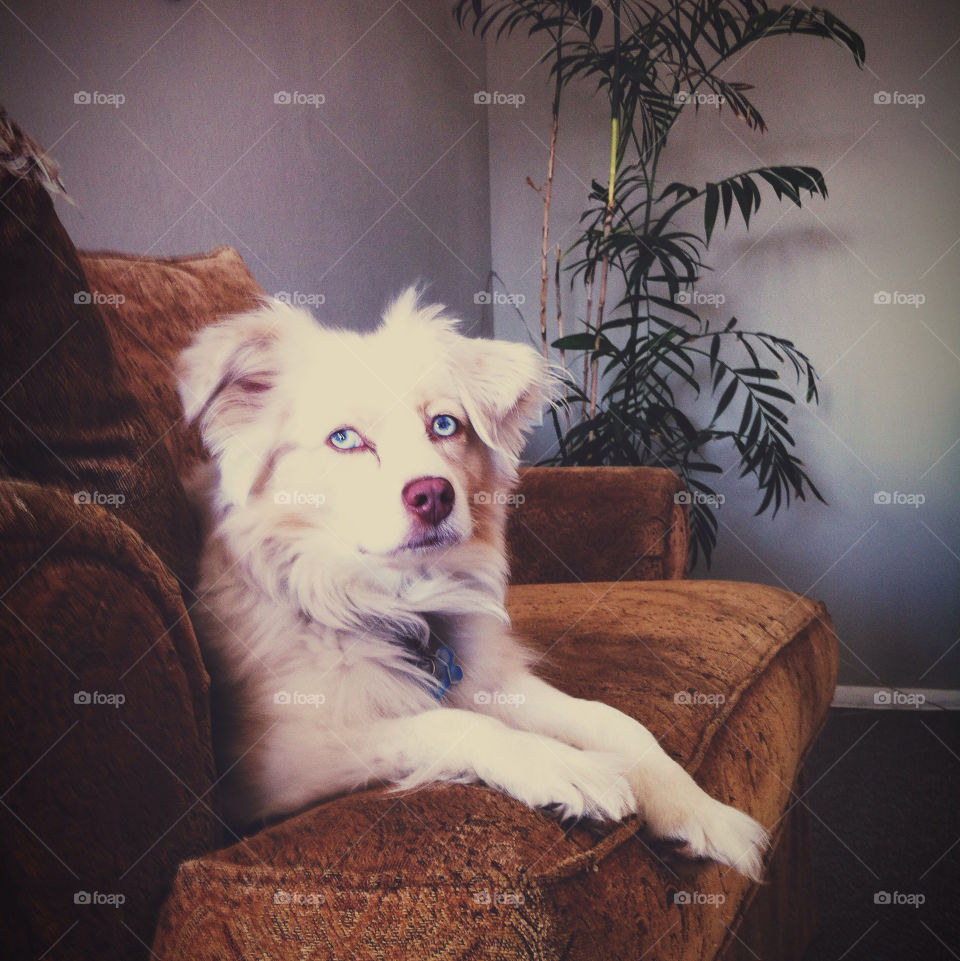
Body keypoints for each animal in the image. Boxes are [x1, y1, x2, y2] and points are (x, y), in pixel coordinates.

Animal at [176, 286, 768, 876]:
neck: (394, 604)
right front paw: (566, 766)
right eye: (344, 439)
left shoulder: (494, 680)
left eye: (445, 425)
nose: (433, 496)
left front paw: (699, 810)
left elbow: (615, 721)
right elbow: (447, 723)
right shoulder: (272, 765)